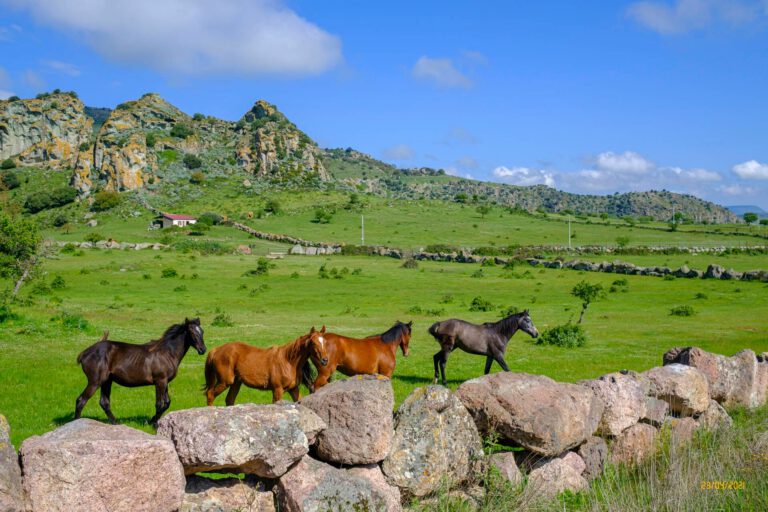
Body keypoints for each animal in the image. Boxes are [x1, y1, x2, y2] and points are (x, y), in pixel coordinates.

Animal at [75, 317, 207, 426]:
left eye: (202, 331)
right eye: (192, 332)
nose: (203, 350)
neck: (167, 353)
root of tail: (84, 353)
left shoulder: (165, 382)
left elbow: (167, 403)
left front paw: (152, 421)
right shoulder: (160, 381)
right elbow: (159, 404)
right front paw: (154, 424)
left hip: (107, 381)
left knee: (104, 402)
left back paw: (116, 422)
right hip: (95, 381)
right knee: (81, 400)